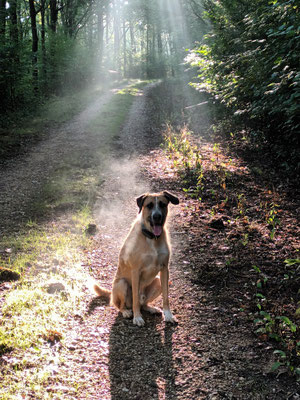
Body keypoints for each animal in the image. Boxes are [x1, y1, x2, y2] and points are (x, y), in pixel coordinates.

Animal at [94, 190, 179, 324]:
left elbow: (166, 297)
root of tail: (112, 295)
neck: (152, 239)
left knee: (143, 303)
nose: (157, 216)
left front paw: (169, 315)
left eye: (162, 204)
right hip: (122, 283)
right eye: (149, 205)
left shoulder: (165, 269)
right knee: (122, 305)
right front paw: (137, 317)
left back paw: (151, 308)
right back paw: (126, 312)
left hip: (157, 282)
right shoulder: (135, 271)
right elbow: (134, 299)